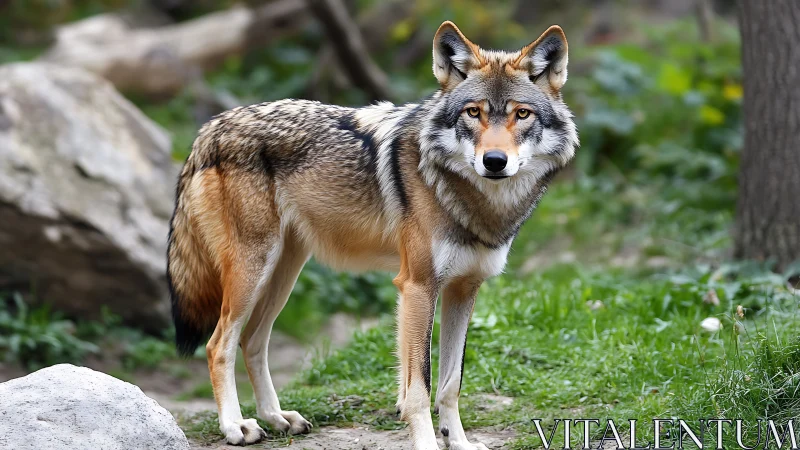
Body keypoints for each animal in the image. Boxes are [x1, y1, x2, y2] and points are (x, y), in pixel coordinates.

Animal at [167, 21, 578, 449]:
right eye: (473, 112)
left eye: (522, 114)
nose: (494, 161)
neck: (474, 202)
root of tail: (210, 128)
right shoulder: (417, 287)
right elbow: (419, 386)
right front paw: (428, 443)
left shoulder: (464, 289)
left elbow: (451, 383)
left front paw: (459, 442)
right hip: (253, 271)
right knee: (218, 345)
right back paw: (236, 426)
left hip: (283, 275)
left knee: (252, 341)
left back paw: (277, 418)